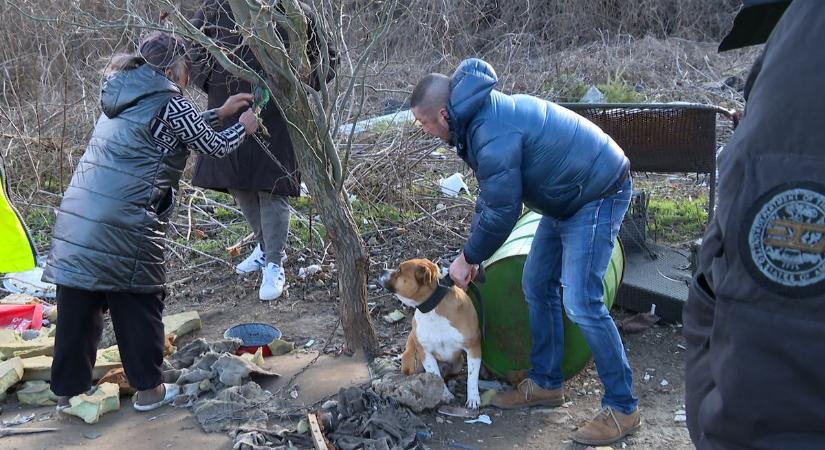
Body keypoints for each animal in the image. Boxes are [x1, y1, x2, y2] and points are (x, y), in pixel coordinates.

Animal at [376, 258, 480, 410]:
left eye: (400, 270)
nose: (382, 270)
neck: (432, 309)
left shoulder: (473, 348)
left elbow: (472, 376)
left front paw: (473, 398)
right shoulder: (425, 352)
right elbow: (435, 375)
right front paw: (445, 395)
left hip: (458, 363)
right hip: (411, 359)